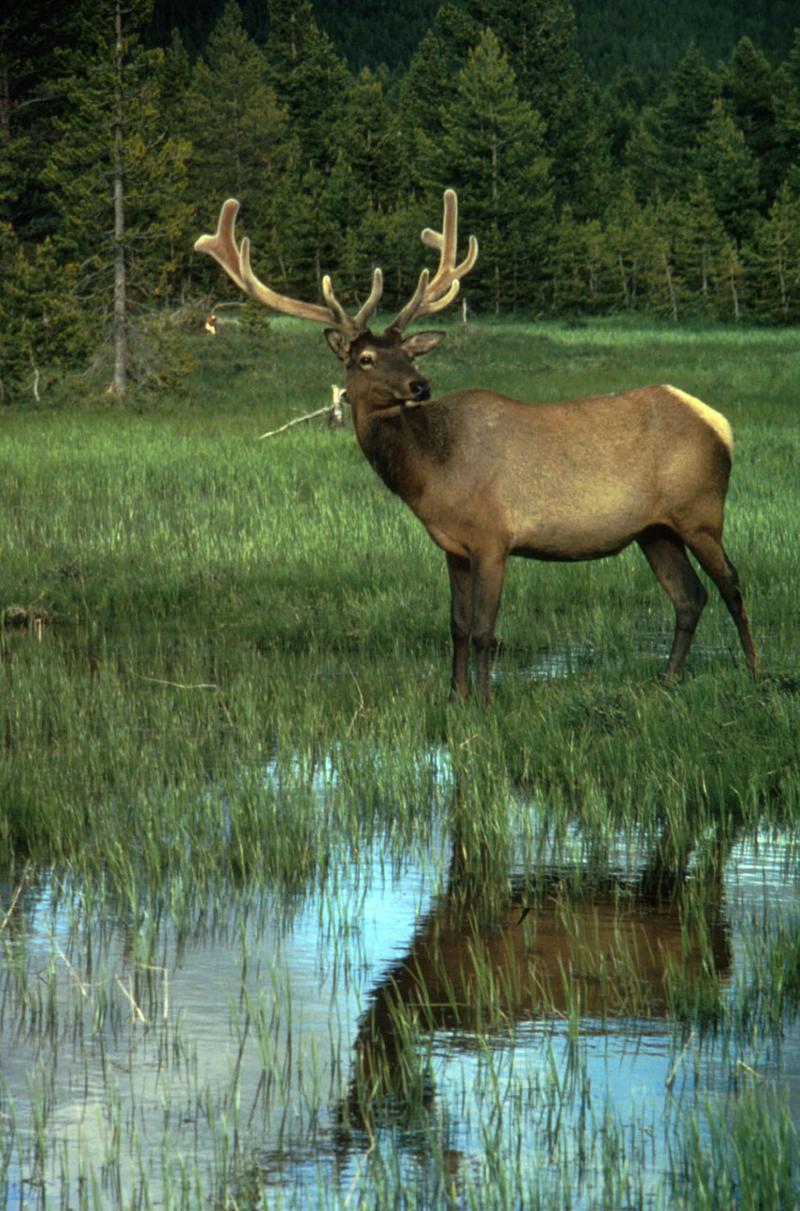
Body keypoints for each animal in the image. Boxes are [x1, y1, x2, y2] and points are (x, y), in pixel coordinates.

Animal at [193, 188, 755, 702]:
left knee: (731, 583)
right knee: (689, 596)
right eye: (366, 359)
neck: (431, 474)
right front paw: (455, 696)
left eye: (410, 352)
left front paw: (486, 701)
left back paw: (754, 669)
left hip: (701, 510)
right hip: (654, 530)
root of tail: (720, 423)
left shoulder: (493, 536)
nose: (420, 386)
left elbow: (486, 629)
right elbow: (457, 625)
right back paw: (668, 679)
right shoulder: (453, 546)